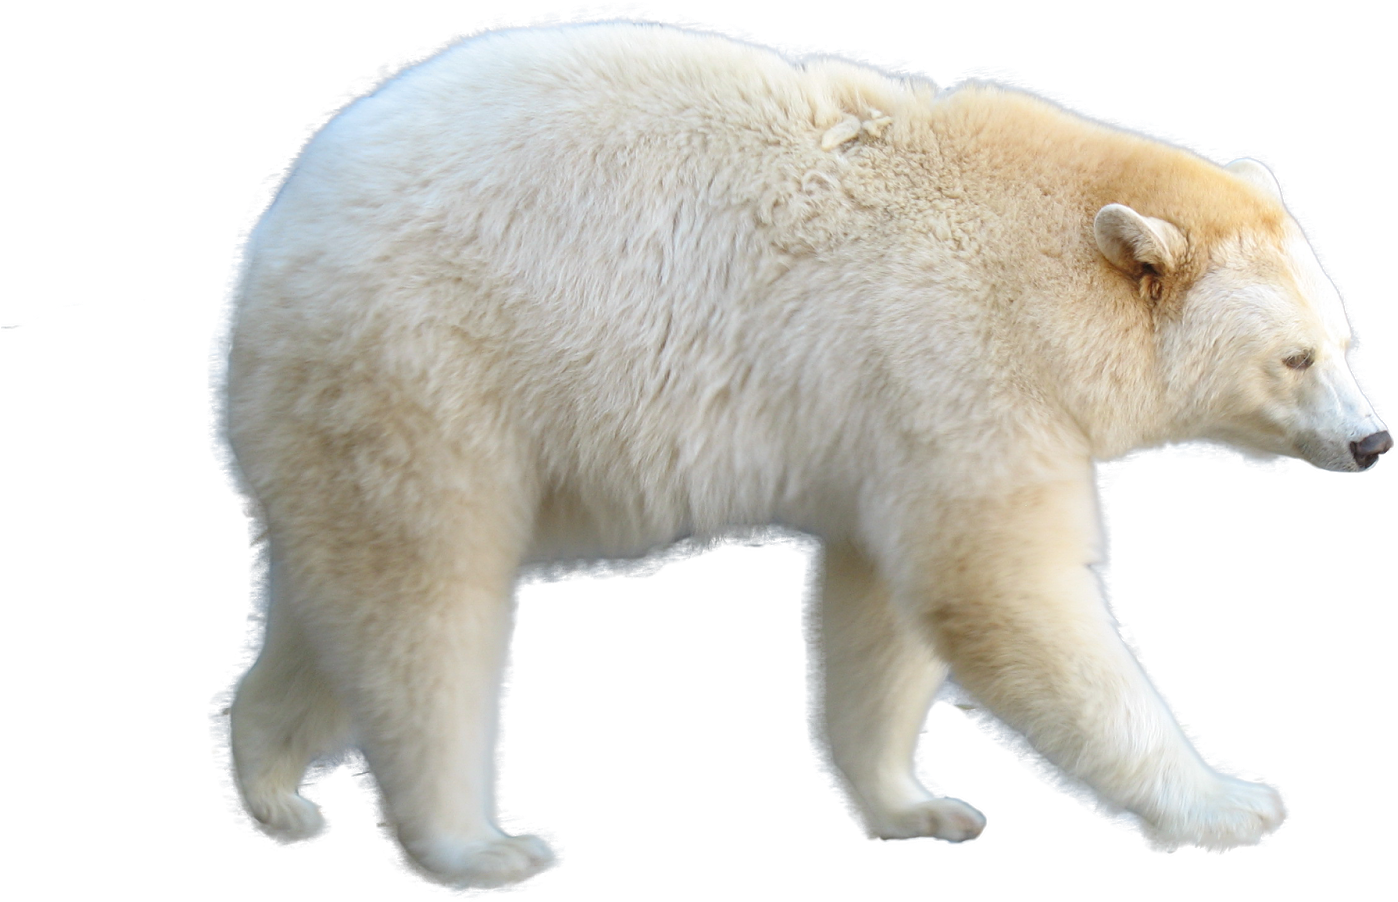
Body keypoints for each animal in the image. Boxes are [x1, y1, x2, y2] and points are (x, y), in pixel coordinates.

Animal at [208, 19, 1390, 893]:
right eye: (1293, 356)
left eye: (1344, 342)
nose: (1373, 441)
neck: (1029, 251)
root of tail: (273, 237)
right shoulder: (957, 358)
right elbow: (1003, 589)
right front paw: (1229, 803)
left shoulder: (882, 415)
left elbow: (879, 613)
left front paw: (919, 807)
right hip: (424, 368)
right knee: (428, 611)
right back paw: (480, 846)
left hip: (343, 419)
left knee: (341, 602)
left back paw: (273, 790)